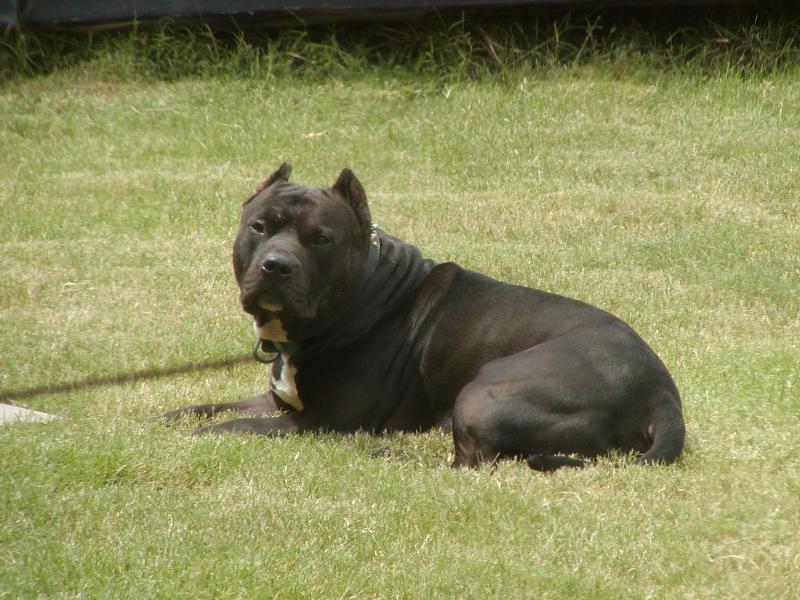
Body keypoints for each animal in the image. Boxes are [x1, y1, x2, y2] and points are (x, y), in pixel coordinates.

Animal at [164, 164, 685, 471]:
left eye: (322, 238)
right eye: (260, 226)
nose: (276, 265)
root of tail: (662, 392)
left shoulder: (320, 420)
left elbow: (235, 427)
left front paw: (198, 436)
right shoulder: (280, 400)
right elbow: (214, 407)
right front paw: (169, 417)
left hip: (484, 390)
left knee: (470, 463)